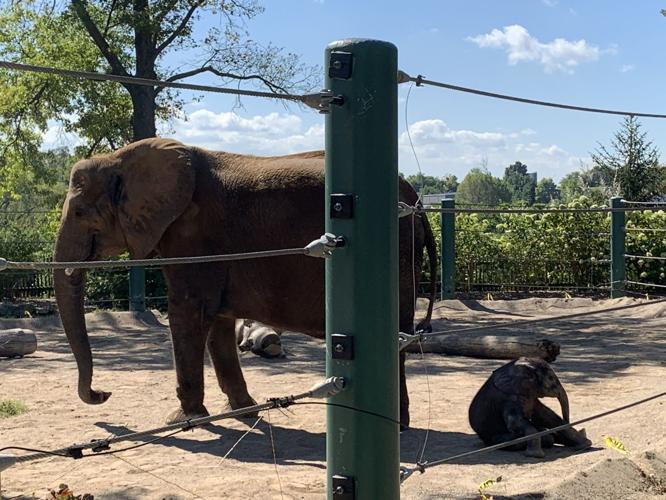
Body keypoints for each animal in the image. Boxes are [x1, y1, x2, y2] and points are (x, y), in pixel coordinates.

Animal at [53, 137, 438, 428]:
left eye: (79, 213)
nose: (103, 395)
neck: (120, 158)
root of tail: (416, 200)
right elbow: (218, 320)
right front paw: (240, 411)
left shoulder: (194, 235)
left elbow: (188, 313)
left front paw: (181, 420)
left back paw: (396, 428)